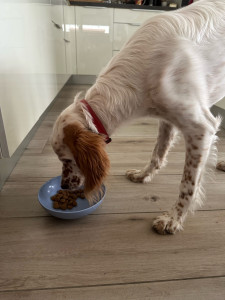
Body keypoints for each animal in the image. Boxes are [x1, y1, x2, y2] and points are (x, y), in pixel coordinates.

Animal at [51, 0, 225, 234]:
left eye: (67, 159)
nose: (63, 185)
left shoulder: (201, 129)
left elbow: (188, 184)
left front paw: (174, 218)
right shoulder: (168, 118)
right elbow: (157, 153)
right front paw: (143, 175)